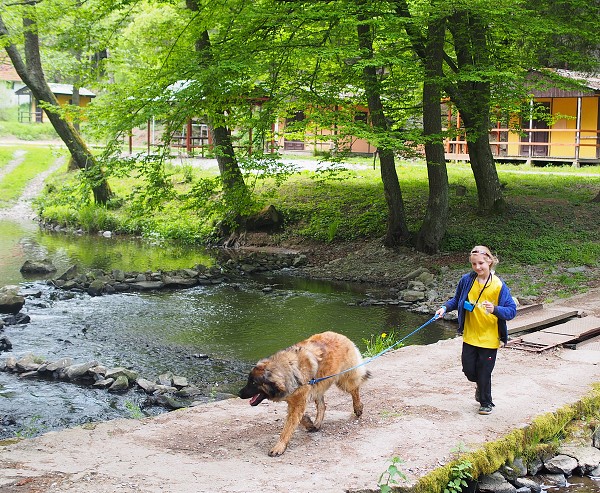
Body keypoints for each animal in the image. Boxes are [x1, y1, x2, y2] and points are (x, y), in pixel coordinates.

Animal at [237, 328, 368, 456]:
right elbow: (299, 418)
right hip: (318, 386)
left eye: (253, 383)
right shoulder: (295, 400)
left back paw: (358, 407)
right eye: (249, 381)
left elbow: (288, 427)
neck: (287, 371)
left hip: (344, 379)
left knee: (354, 390)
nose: (239, 394)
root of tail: (341, 335)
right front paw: (309, 424)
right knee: (322, 406)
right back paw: (317, 423)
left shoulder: (298, 401)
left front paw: (279, 447)